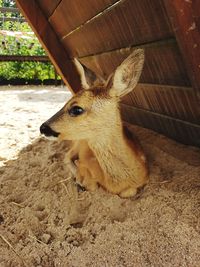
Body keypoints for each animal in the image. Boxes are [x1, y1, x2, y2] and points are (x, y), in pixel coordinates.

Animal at [39, 49, 148, 198]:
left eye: (77, 109)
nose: (43, 127)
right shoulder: (86, 163)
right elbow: (92, 184)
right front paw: (79, 181)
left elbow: (129, 191)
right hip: (79, 142)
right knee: (66, 157)